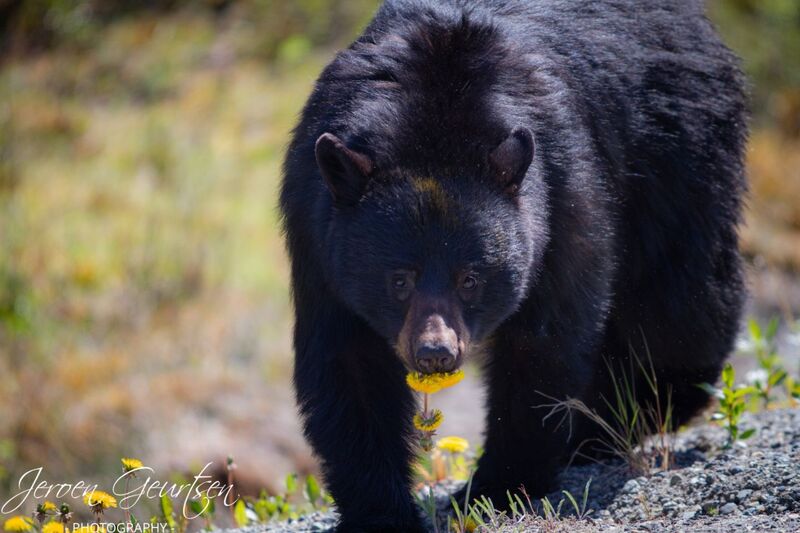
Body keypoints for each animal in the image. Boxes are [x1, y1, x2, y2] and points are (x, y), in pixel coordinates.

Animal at [279, 1, 747, 531]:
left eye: (470, 279)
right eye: (399, 280)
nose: (435, 353)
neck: (436, 120)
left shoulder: (561, 194)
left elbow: (542, 343)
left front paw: (497, 488)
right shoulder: (317, 233)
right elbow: (348, 362)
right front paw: (382, 511)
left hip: (678, 153)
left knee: (676, 302)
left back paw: (619, 420)